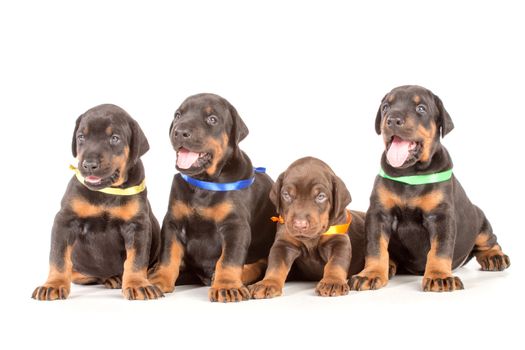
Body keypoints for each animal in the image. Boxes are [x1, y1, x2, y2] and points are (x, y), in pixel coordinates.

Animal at [31, 104, 161, 300]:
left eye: (114, 138)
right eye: (81, 137)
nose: (89, 164)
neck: (106, 192)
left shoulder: (137, 225)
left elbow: (136, 260)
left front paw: (138, 284)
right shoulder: (65, 220)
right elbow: (58, 257)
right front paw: (53, 284)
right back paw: (112, 278)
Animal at [148, 94, 274, 302]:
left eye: (212, 119)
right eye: (178, 115)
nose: (179, 132)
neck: (203, 183)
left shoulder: (235, 226)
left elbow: (229, 259)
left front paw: (227, 286)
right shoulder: (173, 223)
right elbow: (167, 256)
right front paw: (159, 280)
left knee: (259, 265)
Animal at [247, 158, 362, 298]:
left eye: (321, 196)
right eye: (286, 195)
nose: (300, 224)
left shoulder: (338, 241)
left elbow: (336, 263)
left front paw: (332, 281)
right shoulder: (284, 243)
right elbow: (276, 265)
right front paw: (268, 283)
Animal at [350, 85, 510, 292]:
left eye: (421, 109)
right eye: (386, 107)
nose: (392, 120)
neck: (410, 172)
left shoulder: (441, 216)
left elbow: (439, 250)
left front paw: (439, 276)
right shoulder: (379, 214)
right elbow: (375, 247)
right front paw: (371, 274)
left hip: (478, 218)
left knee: (489, 240)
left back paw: (495, 256)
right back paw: (390, 265)